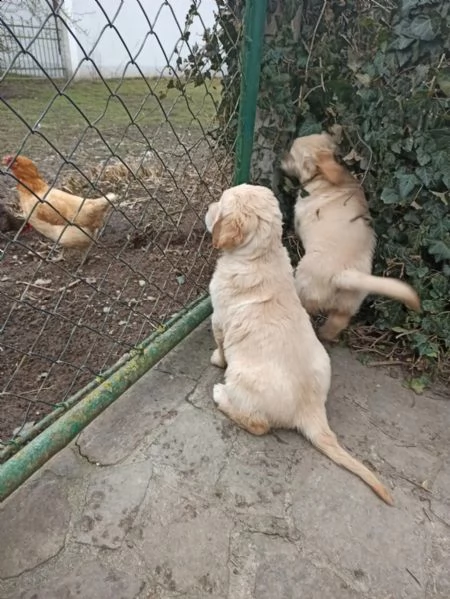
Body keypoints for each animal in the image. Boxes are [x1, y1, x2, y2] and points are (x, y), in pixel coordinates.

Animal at [206, 184, 392, 506]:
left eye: (220, 202)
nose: (208, 206)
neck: (260, 255)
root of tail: (311, 410)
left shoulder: (218, 318)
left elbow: (220, 345)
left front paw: (216, 359)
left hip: (241, 380)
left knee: (258, 424)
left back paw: (222, 397)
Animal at [282, 134, 422, 344]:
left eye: (291, 154)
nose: (280, 157)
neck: (324, 177)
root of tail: (344, 275)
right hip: (347, 306)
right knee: (337, 323)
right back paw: (325, 335)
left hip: (304, 284)